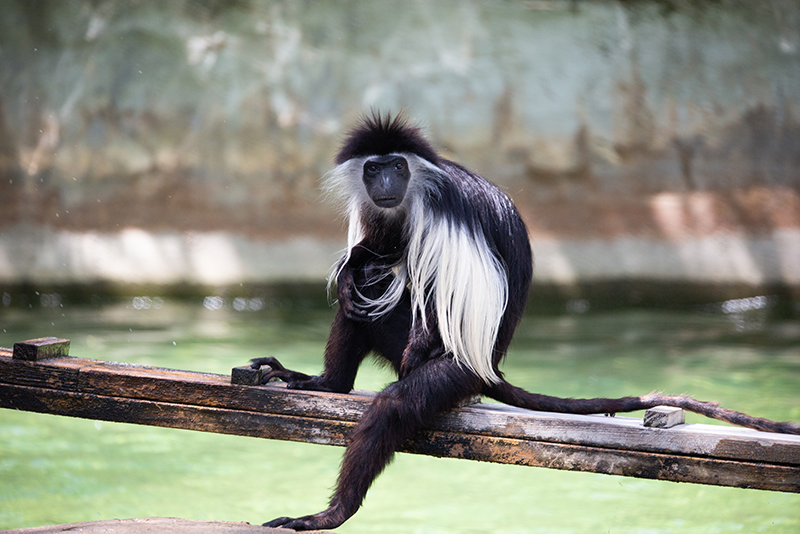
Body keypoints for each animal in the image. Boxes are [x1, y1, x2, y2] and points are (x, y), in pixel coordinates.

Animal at [250, 113, 800, 531]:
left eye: (396, 167)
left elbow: (432, 287)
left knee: (398, 398)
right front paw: (349, 267)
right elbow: (376, 254)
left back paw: (333, 511)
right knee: (360, 301)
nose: (385, 183)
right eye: (374, 169)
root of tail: (490, 366)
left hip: (457, 370)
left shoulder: (435, 211)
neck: (413, 191)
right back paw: (328, 381)